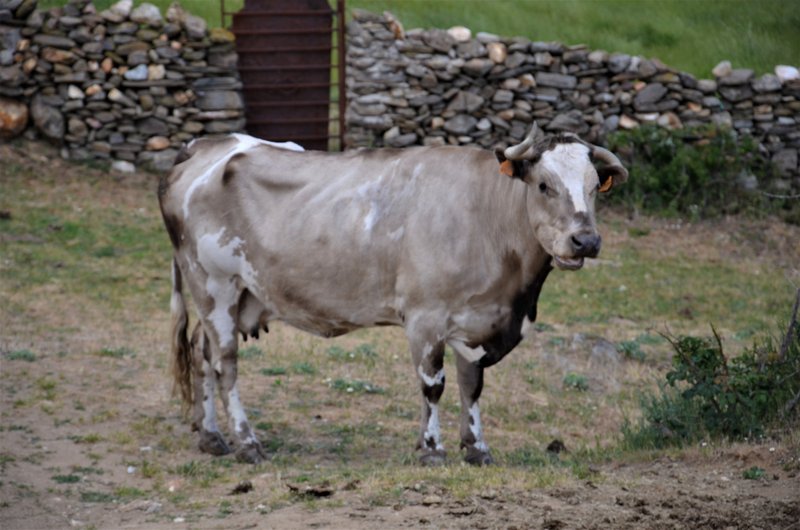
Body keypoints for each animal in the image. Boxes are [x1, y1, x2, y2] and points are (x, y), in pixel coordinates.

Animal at [159, 122, 628, 462]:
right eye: (544, 185)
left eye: (594, 187)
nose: (586, 241)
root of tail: (207, 145)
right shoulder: (425, 317)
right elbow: (433, 385)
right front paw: (432, 449)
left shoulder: (477, 320)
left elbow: (472, 385)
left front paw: (476, 448)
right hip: (214, 284)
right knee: (225, 364)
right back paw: (247, 443)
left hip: (235, 295)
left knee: (201, 352)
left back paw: (211, 436)